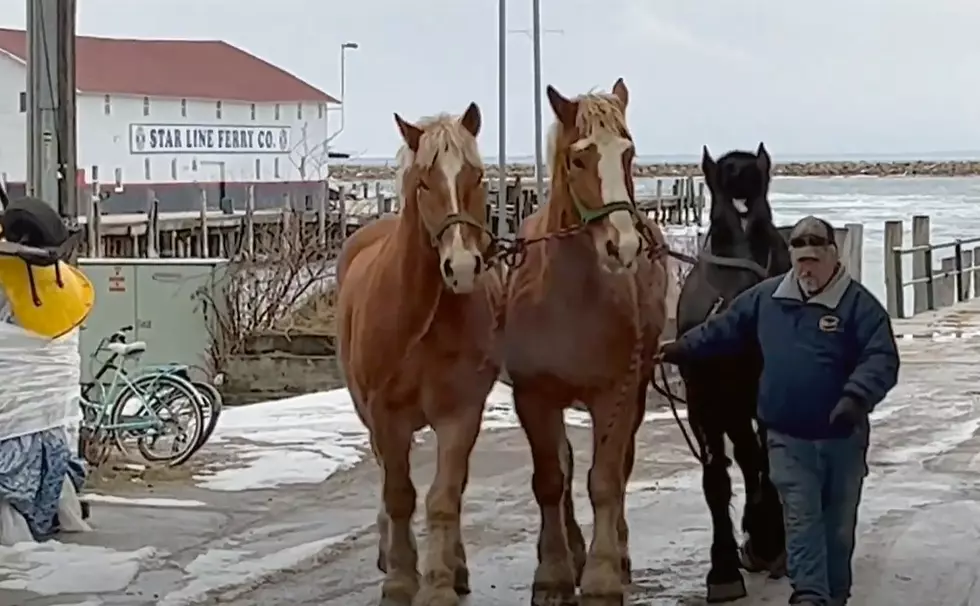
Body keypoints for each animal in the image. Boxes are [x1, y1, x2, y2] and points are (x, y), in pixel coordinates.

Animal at [335, 104, 503, 606]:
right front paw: (400, 579)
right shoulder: (385, 416)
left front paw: (441, 583)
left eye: (477, 175)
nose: (462, 267)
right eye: (424, 183)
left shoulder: (461, 413)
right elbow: (399, 495)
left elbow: (444, 498)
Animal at [503, 78, 670, 605]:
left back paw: (617, 550)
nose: (624, 245)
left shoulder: (614, 392)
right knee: (563, 466)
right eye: (579, 159)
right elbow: (550, 479)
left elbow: (606, 481)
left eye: (628, 153)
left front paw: (601, 576)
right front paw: (554, 573)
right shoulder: (533, 395)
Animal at [673, 143, 791, 602]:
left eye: (765, 229)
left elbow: (772, 464)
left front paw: (769, 540)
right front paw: (723, 568)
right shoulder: (703, 404)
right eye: (719, 228)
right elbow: (716, 479)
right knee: (746, 456)